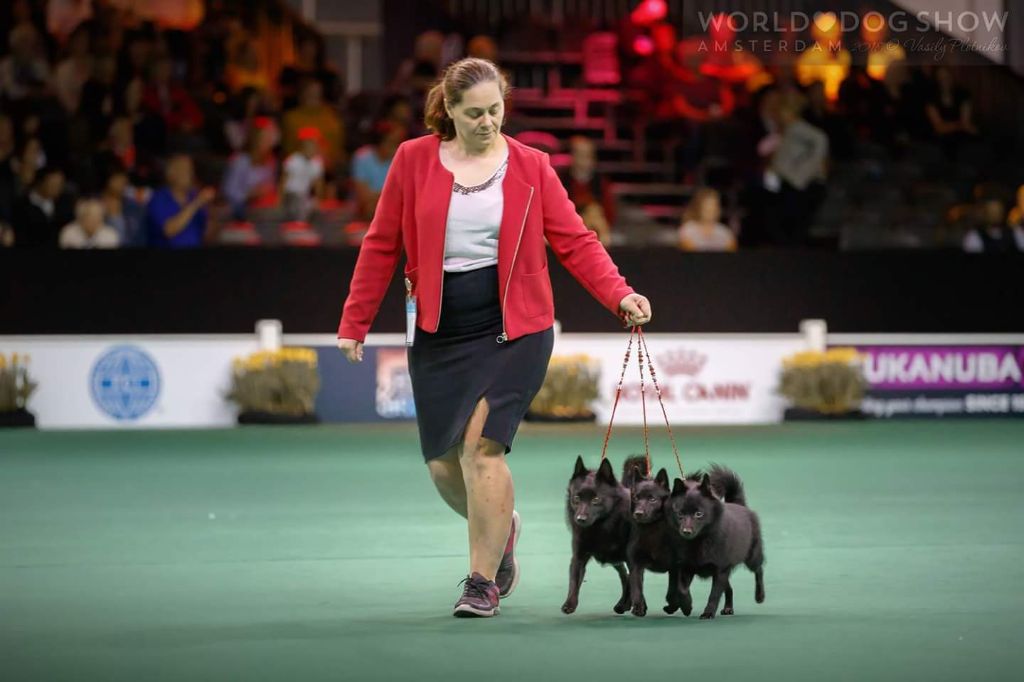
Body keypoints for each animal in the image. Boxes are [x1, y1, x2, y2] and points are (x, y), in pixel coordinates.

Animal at [565, 454, 643, 614]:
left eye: (596, 499)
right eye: (576, 498)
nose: (580, 519)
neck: (600, 526)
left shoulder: (633, 558)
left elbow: (636, 581)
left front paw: (638, 606)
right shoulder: (579, 557)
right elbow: (574, 580)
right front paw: (569, 604)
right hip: (615, 561)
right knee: (624, 576)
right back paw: (623, 604)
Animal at [622, 462, 679, 614]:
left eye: (652, 499)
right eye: (636, 498)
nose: (638, 513)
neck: (652, 530)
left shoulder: (675, 566)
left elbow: (674, 589)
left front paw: (674, 605)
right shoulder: (636, 563)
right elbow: (636, 586)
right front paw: (638, 606)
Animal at [667, 464, 765, 618]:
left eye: (698, 514)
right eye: (680, 513)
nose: (686, 531)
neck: (699, 541)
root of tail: (741, 506)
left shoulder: (720, 570)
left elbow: (713, 595)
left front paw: (708, 613)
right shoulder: (687, 567)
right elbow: (681, 589)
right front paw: (686, 606)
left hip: (751, 557)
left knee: (759, 569)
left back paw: (760, 595)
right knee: (729, 589)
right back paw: (728, 608)